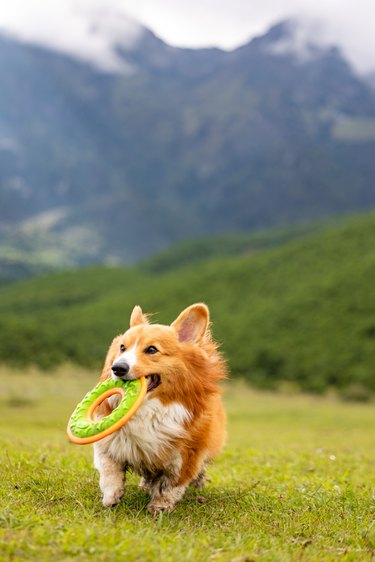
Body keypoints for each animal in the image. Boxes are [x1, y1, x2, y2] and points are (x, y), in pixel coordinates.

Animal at [93, 302, 226, 512]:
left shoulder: (186, 454)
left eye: (151, 349)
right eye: (122, 347)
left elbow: (170, 484)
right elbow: (109, 470)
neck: (147, 409)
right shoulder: (109, 441)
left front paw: (159, 507)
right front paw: (111, 496)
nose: (117, 368)